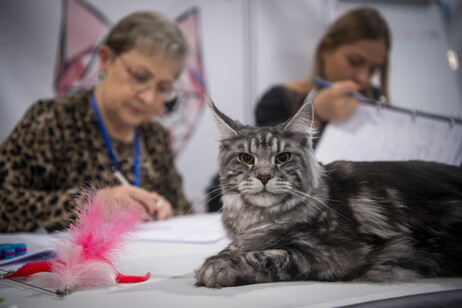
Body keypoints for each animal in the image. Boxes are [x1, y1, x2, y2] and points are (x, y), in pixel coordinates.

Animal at [195, 94, 462, 288]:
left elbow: (272, 256)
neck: (258, 218)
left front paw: (219, 268)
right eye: (246, 158)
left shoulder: (334, 254)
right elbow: (235, 247)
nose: (263, 176)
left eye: (282, 158)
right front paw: (218, 257)